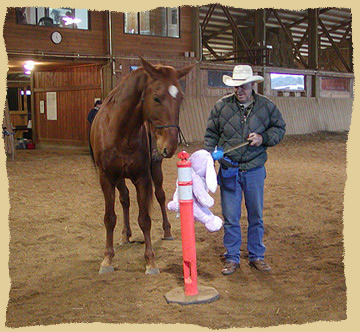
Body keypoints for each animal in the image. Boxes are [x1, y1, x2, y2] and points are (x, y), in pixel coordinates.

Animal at [89, 57, 194, 274]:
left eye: (180, 98)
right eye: (156, 98)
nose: (169, 146)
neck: (120, 131)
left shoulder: (143, 178)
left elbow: (145, 219)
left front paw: (150, 261)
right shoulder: (106, 178)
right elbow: (109, 218)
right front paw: (107, 259)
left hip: (156, 170)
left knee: (160, 196)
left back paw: (167, 231)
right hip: (119, 179)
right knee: (125, 199)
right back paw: (125, 235)